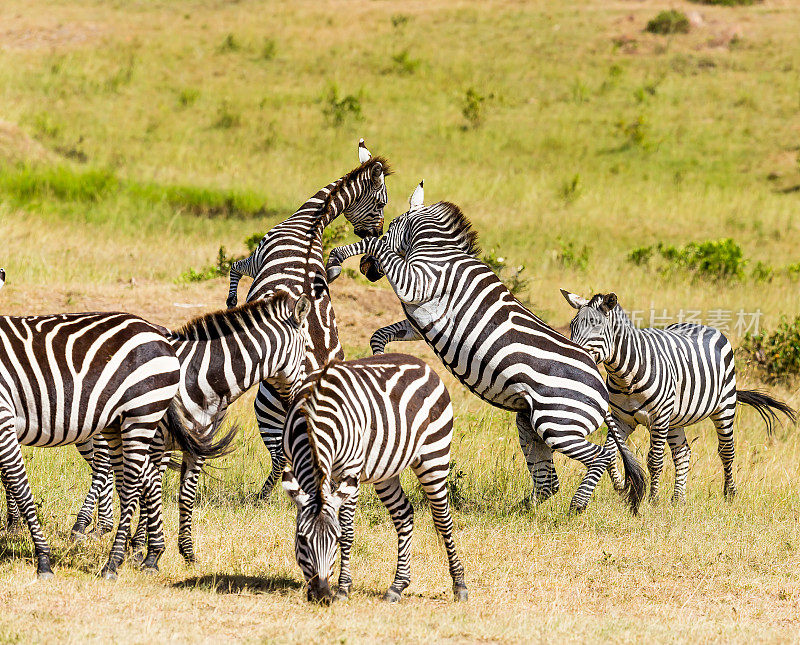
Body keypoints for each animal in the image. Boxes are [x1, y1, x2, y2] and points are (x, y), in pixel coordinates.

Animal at [0, 308, 191, 580]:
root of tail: (155, 329)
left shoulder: (3, 417)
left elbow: (20, 487)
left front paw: (43, 559)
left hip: (141, 414)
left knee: (131, 485)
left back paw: (113, 563)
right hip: (117, 424)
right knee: (150, 478)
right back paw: (151, 556)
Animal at [72, 290, 312, 560]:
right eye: (306, 352)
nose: (299, 402)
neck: (200, 378)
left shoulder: (195, 444)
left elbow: (184, 496)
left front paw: (182, 551)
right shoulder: (154, 442)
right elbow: (147, 491)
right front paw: (140, 547)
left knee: (105, 467)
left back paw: (100, 526)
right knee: (102, 467)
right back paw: (87, 526)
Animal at [225, 138, 390, 496]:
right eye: (382, 202)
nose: (377, 232)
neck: (311, 222)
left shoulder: (255, 259)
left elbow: (233, 267)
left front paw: (230, 301)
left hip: (266, 403)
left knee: (280, 458)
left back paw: (261, 497)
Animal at [324, 185, 644, 512]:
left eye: (389, 226)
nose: (366, 269)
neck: (436, 251)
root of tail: (603, 390)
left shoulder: (417, 284)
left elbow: (376, 246)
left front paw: (335, 258)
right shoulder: (419, 318)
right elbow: (379, 334)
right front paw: (382, 364)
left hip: (558, 423)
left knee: (600, 457)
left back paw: (576, 507)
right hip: (531, 421)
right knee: (549, 482)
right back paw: (518, 513)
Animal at [560, 288, 796, 504]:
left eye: (596, 326)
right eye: (572, 326)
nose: (574, 354)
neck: (625, 376)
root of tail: (703, 326)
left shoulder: (659, 417)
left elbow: (654, 460)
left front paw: (653, 500)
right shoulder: (622, 418)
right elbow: (611, 452)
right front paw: (620, 486)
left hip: (724, 407)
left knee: (726, 451)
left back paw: (729, 494)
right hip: (675, 419)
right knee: (683, 453)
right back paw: (678, 499)